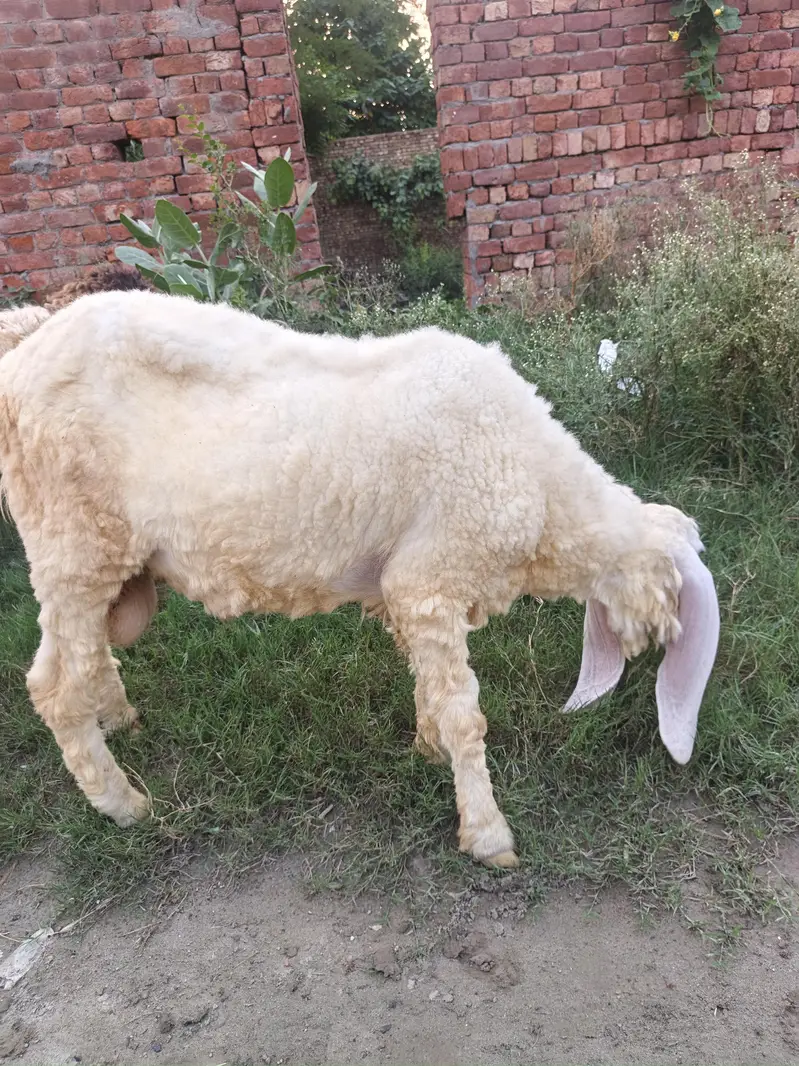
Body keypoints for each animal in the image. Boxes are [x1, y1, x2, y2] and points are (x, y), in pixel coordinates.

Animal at [0, 289, 720, 868]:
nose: (649, 650)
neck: (542, 489)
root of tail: (26, 347)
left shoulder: (406, 593)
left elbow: (430, 688)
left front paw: (427, 747)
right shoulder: (431, 579)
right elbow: (465, 715)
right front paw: (487, 833)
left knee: (89, 656)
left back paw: (117, 720)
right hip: (72, 542)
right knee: (54, 688)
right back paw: (121, 802)